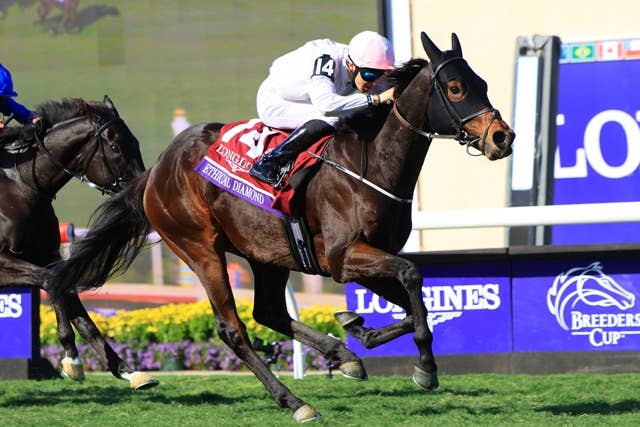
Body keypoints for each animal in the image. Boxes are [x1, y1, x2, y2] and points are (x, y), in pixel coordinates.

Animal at [0, 96, 158, 389]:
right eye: (116, 147)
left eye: (136, 143)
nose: (141, 192)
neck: (23, 185)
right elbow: (51, 282)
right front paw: (71, 358)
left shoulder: (48, 256)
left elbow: (79, 311)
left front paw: (128, 370)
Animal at [51, 32, 514, 421]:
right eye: (455, 88)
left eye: (483, 83)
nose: (502, 138)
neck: (371, 164)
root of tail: (156, 171)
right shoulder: (344, 258)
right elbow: (412, 275)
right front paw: (425, 368)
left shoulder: (362, 256)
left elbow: (410, 300)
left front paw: (356, 328)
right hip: (199, 248)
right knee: (234, 328)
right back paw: (293, 400)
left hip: (266, 253)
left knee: (269, 311)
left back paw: (340, 355)